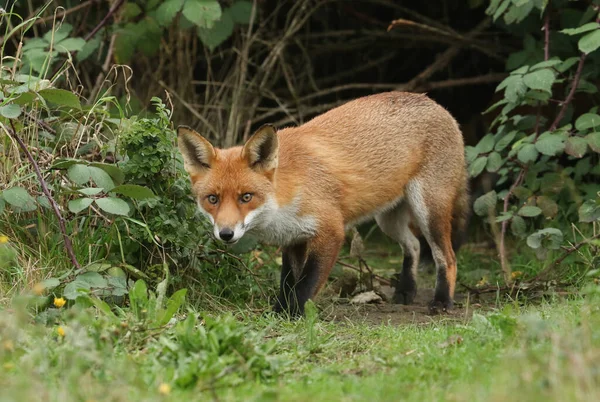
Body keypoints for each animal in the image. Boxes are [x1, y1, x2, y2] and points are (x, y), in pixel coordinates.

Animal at [178, 92, 468, 316]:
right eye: (212, 199)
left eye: (246, 197)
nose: (225, 234)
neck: (285, 195)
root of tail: (437, 104)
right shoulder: (293, 238)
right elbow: (288, 283)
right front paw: (279, 311)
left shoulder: (331, 231)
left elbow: (305, 285)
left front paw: (291, 315)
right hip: (388, 220)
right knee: (414, 246)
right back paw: (406, 291)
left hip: (428, 210)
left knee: (447, 257)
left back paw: (442, 301)